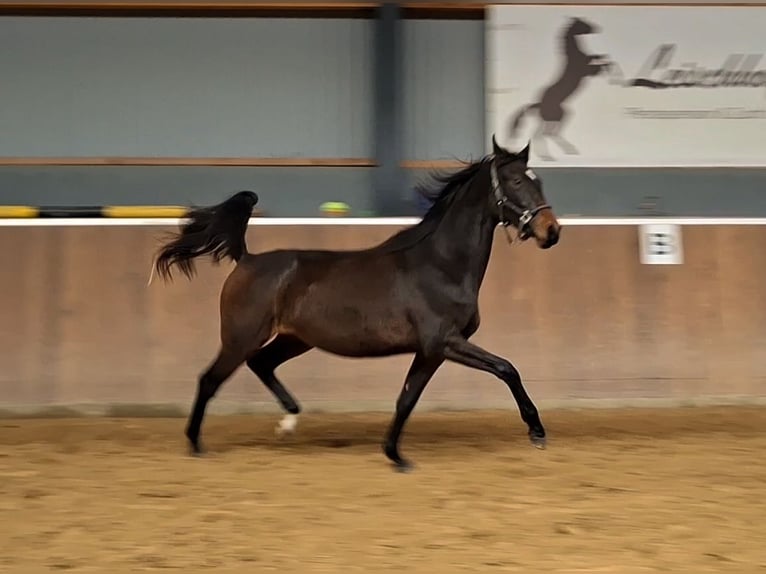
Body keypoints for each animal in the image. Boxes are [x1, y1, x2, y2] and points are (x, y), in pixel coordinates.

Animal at [153, 136, 561, 471]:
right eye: (517, 181)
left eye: (539, 180)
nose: (551, 231)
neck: (440, 264)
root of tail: (247, 259)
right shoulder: (444, 342)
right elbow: (506, 368)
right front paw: (537, 431)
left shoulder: (431, 351)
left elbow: (407, 398)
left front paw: (395, 455)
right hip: (241, 338)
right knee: (210, 379)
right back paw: (196, 445)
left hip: (294, 339)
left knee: (261, 364)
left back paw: (288, 421)